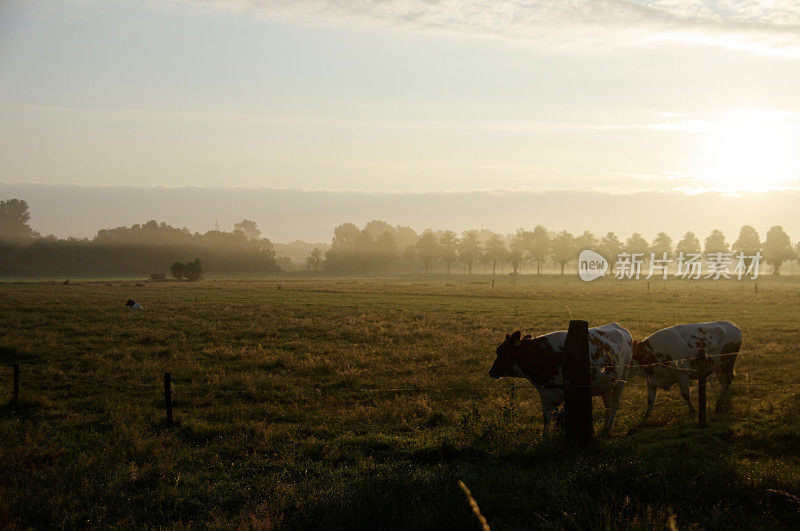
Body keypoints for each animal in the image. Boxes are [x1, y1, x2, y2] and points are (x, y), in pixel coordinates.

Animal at [484, 322, 636, 438]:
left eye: (500, 351)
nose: (491, 371)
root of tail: (619, 327)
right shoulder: (545, 394)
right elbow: (547, 419)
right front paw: (546, 439)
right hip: (605, 386)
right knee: (607, 405)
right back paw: (604, 427)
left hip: (621, 380)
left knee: (614, 404)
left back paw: (608, 428)